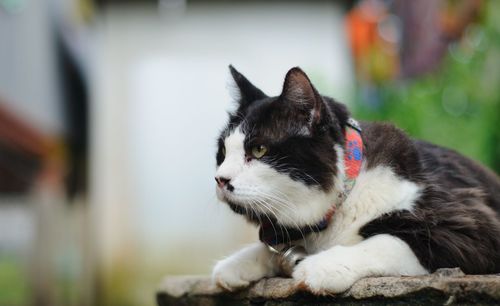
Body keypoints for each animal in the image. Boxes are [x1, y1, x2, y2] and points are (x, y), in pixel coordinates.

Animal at [211, 65, 500, 294]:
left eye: (259, 150)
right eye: (223, 152)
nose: (220, 179)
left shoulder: (471, 227)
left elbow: (388, 241)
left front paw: (323, 265)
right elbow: (275, 248)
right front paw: (237, 263)